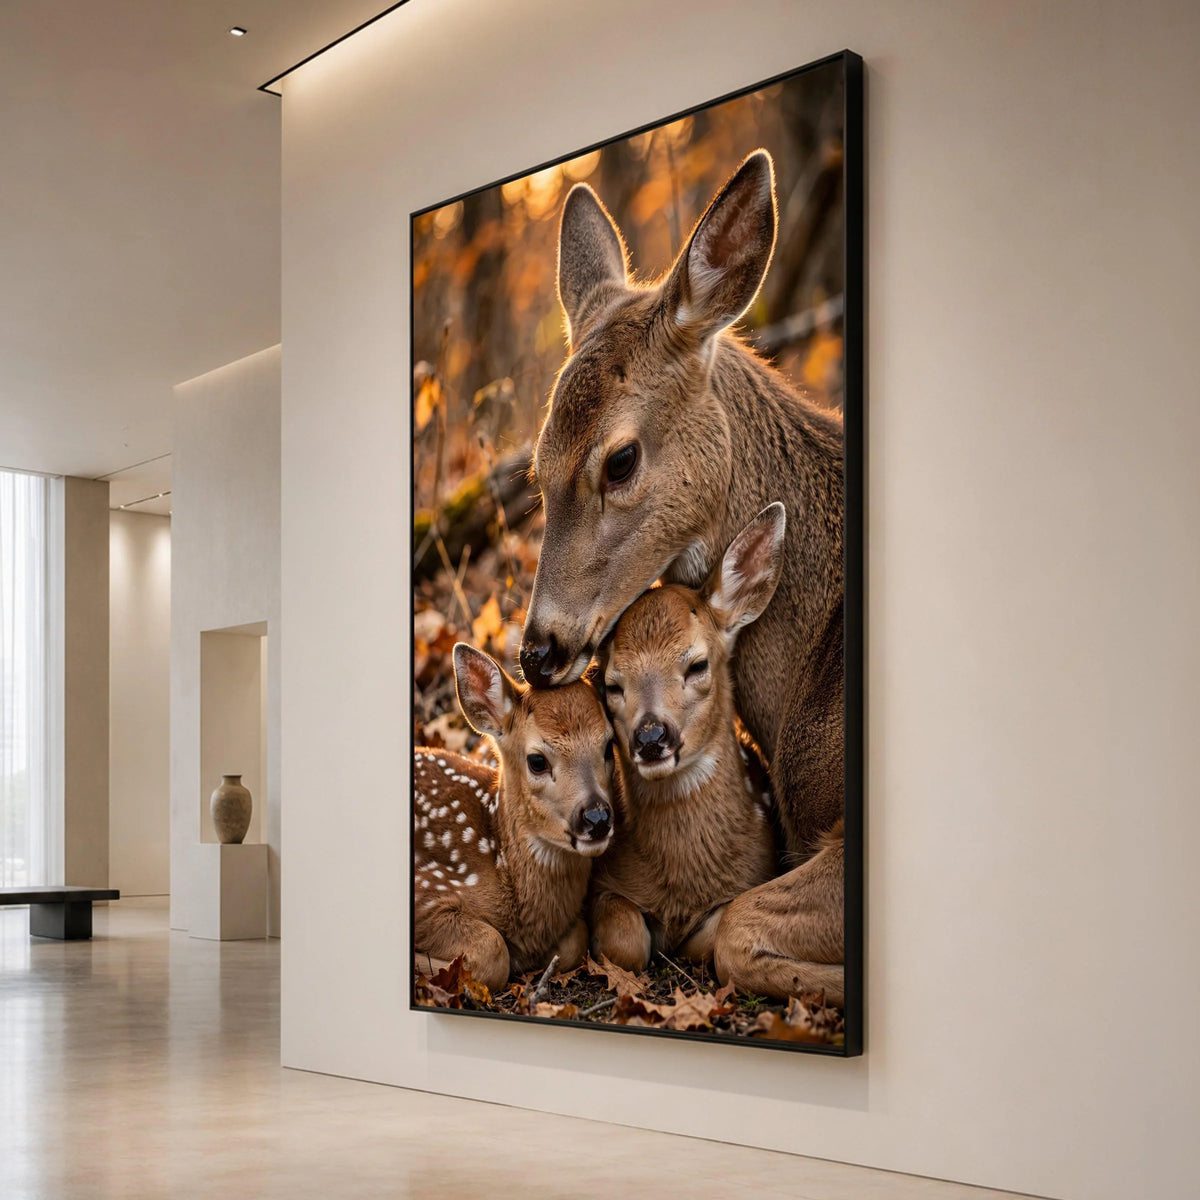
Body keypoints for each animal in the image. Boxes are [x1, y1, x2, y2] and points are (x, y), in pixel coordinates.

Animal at [412, 643, 615, 992]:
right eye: (537, 761)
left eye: (608, 746)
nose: (597, 817)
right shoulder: (426, 887)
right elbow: (494, 952)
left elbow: (576, 940)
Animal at [589, 505, 783, 972]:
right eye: (610, 684)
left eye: (697, 665)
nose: (650, 736)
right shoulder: (604, 884)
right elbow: (626, 942)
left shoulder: (754, 874)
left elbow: (712, 935)